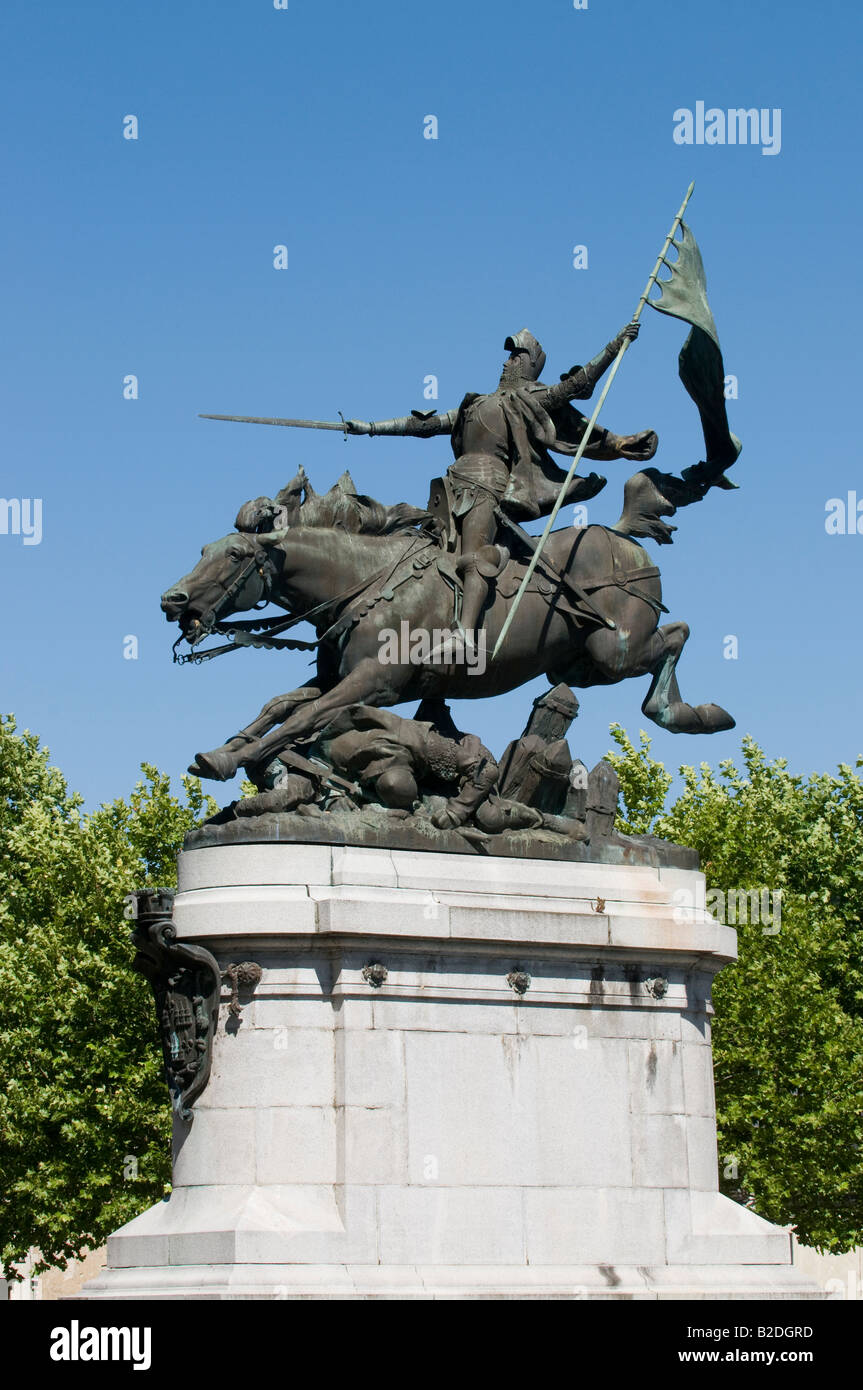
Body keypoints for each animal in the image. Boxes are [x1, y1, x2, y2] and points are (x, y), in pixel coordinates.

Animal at [158, 475, 728, 783]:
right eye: (204, 549)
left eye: (235, 555)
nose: (172, 600)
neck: (364, 581)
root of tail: (622, 537)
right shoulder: (339, 677)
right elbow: (281, 704)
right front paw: (224, 750)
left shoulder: (377, 683)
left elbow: (307, 716)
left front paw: (238, 757)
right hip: (581, 664)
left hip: (613, 651)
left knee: (676, 635)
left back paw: (691, 714)